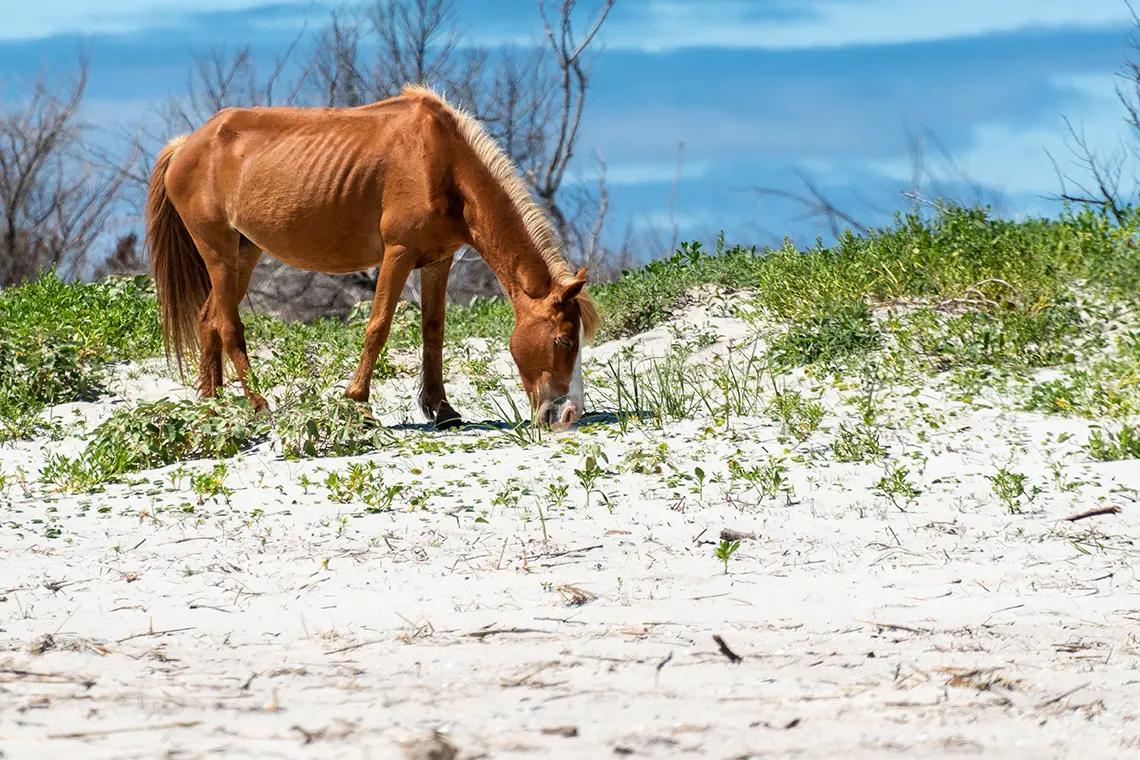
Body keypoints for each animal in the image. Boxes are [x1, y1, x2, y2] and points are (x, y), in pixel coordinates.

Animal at [145, 84, 600, 431]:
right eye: (562, 340)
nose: (568, 415)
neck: (442, 161)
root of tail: (186, 144)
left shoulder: (438, 260)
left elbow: (434, 331)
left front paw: (442, 409)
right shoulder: (398, 254)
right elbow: (378, 326)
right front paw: (358, 404)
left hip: (245, 250)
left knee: (208, 319)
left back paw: (212, 407)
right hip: (218, 250)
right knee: (228, 324)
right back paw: (259, 405)